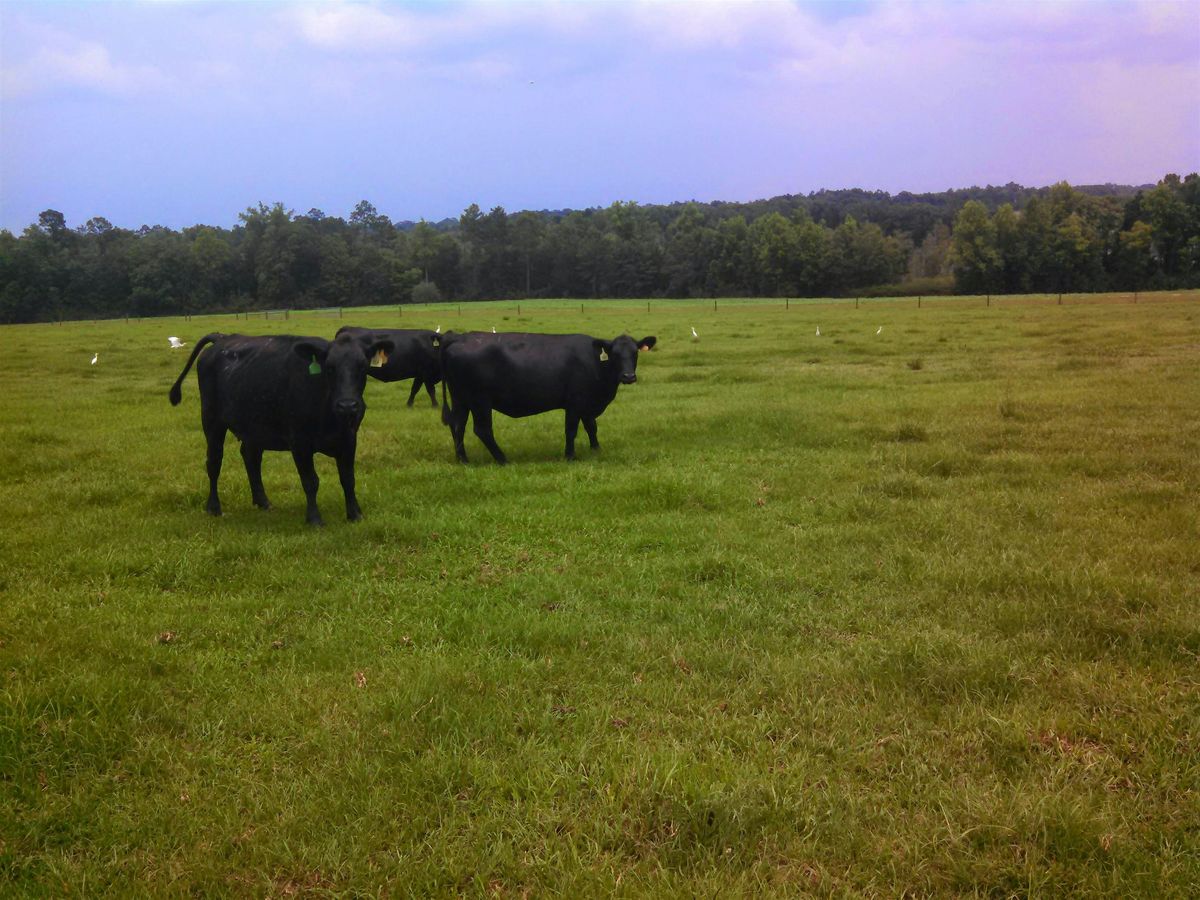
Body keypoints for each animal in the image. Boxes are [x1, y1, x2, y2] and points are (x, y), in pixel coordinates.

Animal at [168, 330, 395, 526]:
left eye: (363, 367)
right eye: (329, 367)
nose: (347, 405)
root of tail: (222, 337)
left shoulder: (348, 438)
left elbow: (348, 479)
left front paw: (355, 514)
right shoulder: (299, 442)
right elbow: (310, 481)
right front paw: (314, 519)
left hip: (254, 427)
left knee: (251, 458)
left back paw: (263, 502)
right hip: (212, 421)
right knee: (214, 462)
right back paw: (214, 507)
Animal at [438, 331, 657, 464]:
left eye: (635, 353)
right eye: (615, 354)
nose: (628, 376)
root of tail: (459, 338)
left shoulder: (586, 403)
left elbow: (591, 427)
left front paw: (596, 449)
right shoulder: (575, 402)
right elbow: (571, 430)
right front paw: (570, 456)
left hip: (461, 399)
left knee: (457, 426)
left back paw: (463, 460)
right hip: (480, 401)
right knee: (482, 430)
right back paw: (503, 459)